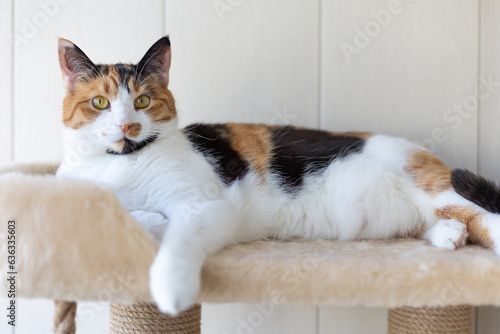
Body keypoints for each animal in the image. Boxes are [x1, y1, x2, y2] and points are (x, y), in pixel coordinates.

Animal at [55, 36, 500, 316]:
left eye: (143, 101)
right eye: (100, 103)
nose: (126, 126)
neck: (122, 163)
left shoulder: (206, 206)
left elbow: (179, 239)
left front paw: (170, 288)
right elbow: (132, 217)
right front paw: (147, 220)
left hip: (437, 188)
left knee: (484, 218)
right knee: (449, 223)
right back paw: (449, 235)